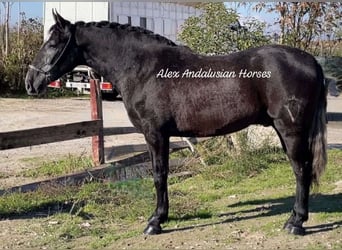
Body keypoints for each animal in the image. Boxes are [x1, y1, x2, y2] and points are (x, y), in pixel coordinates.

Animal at [26, 10, 326, 235]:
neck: (143, 68)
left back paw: (296, 223)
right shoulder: (163, 135)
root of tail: (311, 61)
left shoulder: (155, 134)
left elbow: (159, 175)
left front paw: (155, 221)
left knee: (301, 169)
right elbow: (162, 173)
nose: (31, 83)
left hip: (291, 130)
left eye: (52, 44)